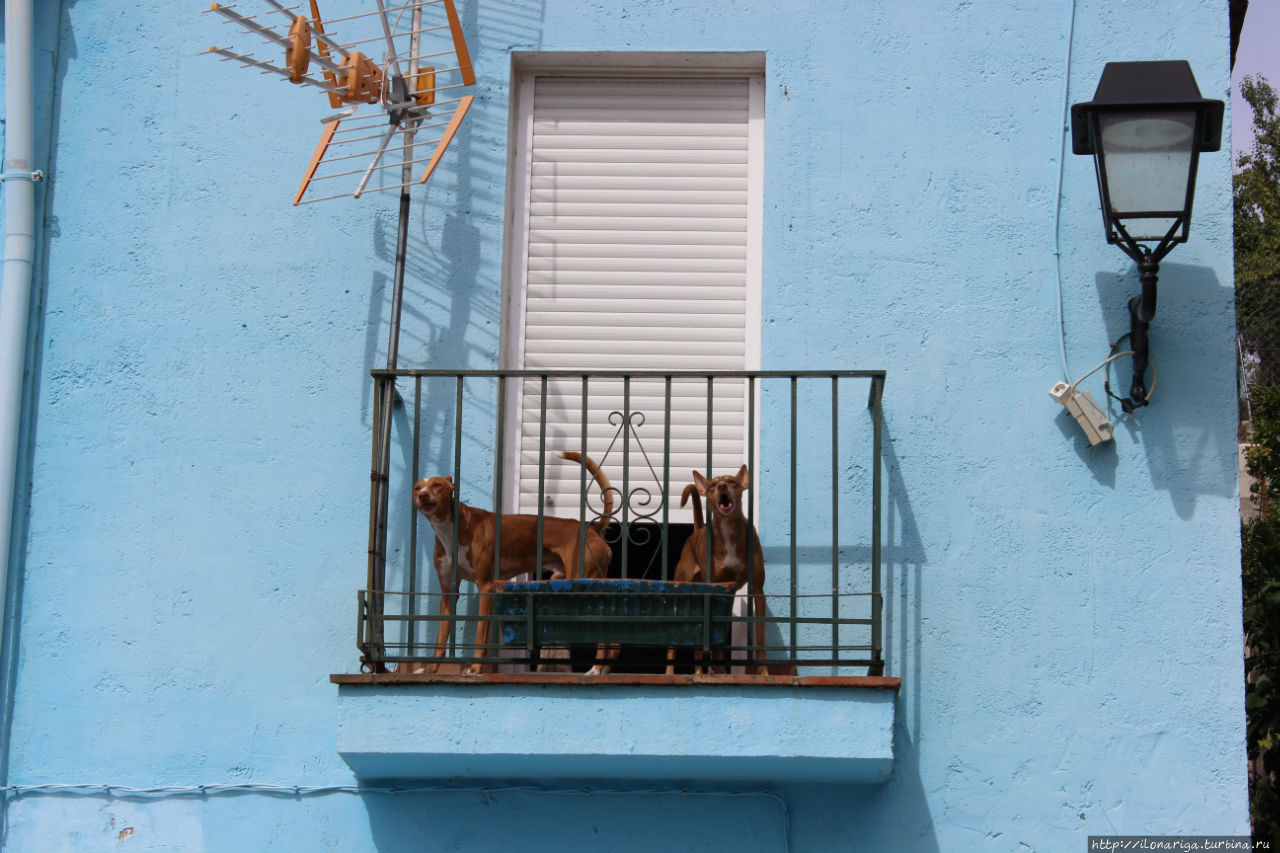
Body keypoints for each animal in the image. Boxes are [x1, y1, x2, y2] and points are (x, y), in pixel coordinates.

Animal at [409, 448, 609, 676]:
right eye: (417, 487)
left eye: (437, 485)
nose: (423, 495)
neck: (451, 529)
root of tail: (592, 529)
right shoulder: (448, 591)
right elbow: (440, 638)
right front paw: (430, 669)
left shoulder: (486, 586)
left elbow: (480, 635)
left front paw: (475, 668)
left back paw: (596, 670)